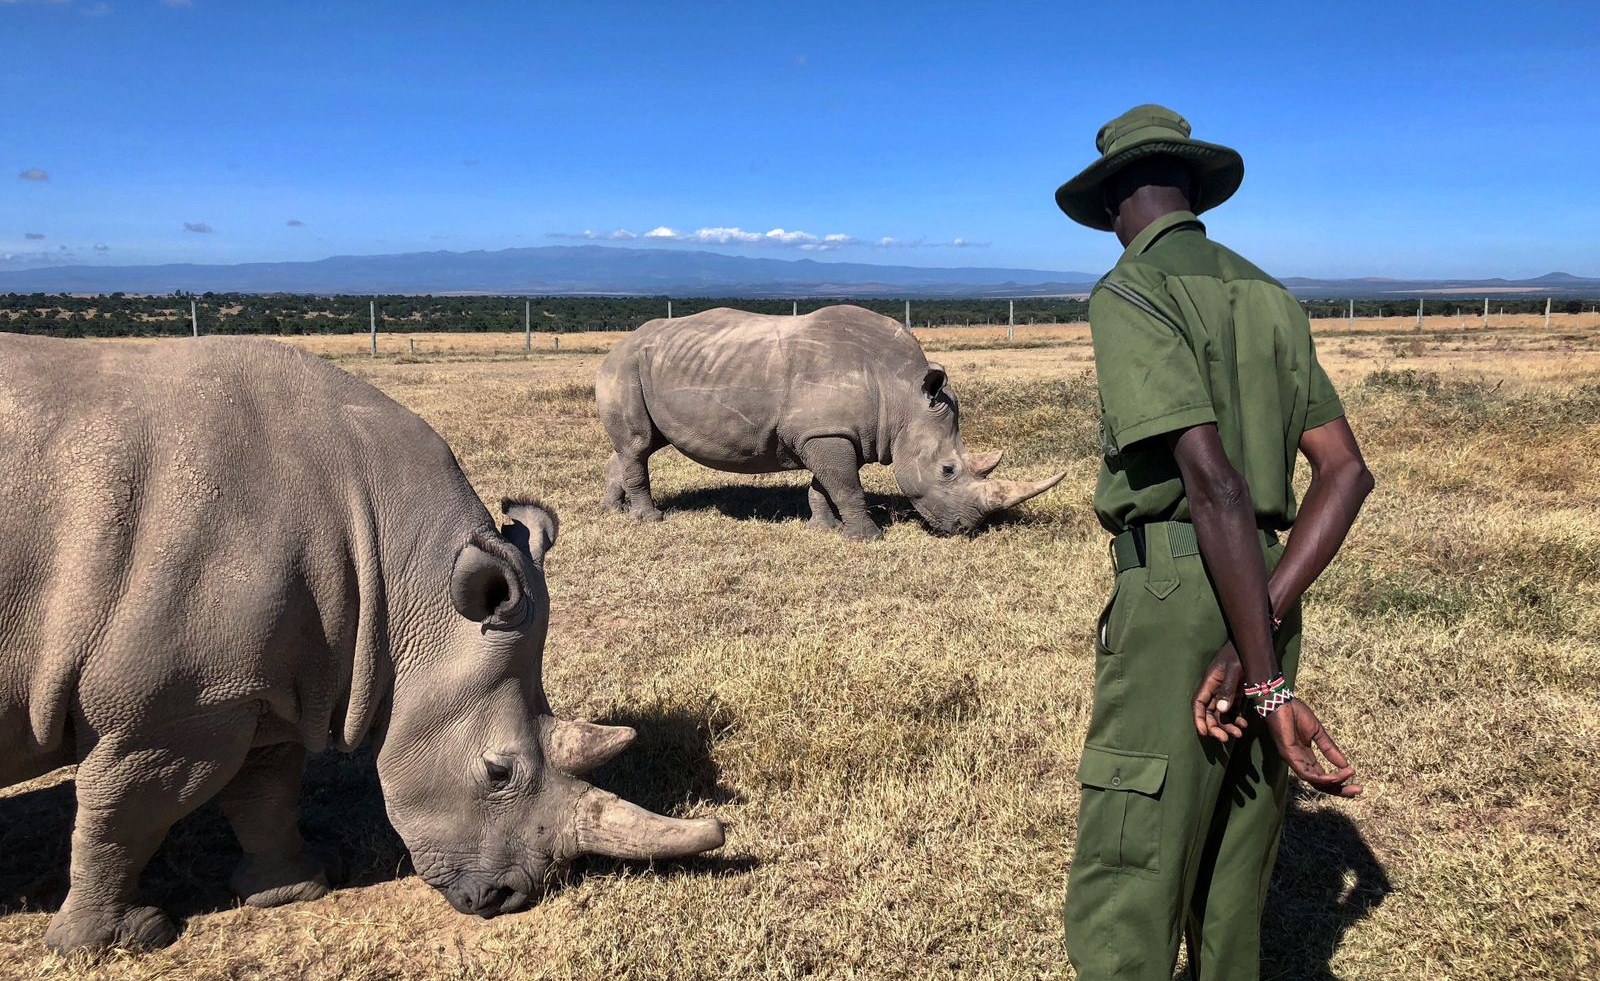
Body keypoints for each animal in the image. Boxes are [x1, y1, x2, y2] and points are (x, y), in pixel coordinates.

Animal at [0, 334, 724, 953]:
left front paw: (295, 889)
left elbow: (265, 790)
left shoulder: (254, 683)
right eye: (498, 772)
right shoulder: (167, 711)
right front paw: (116, 941)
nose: (507, 897)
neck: (400, 571)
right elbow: (126, 812)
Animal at [596, 305, 1065, 540]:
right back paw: (650, 521)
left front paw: (825, 528)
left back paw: (613, 512)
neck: (901, 394)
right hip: (625, 366)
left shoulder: (831, 432)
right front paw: (868, 538)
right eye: (948, 470)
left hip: (649, 367)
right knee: (637, 445)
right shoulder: (827, 432)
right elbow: (846, 486)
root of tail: (617, 345)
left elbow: (826, 484)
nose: (966, 529)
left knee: (637, 445)